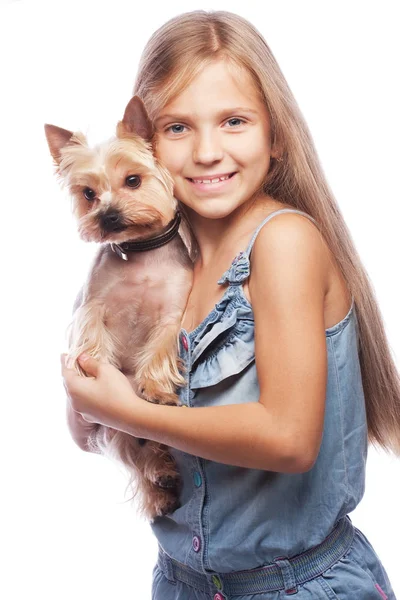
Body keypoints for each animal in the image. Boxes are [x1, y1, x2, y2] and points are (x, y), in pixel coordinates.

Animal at [44, 95, 194, 520]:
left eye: (133, 181)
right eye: (87, 193)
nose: (108, 217)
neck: (139, 253)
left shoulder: (171, 315)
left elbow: (159, 350)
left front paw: (156, 389)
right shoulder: (92, 306)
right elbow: (92, 338)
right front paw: (91, 368)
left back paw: (165, 476)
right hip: (119, 434)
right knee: (136, 458)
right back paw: (160, 486)